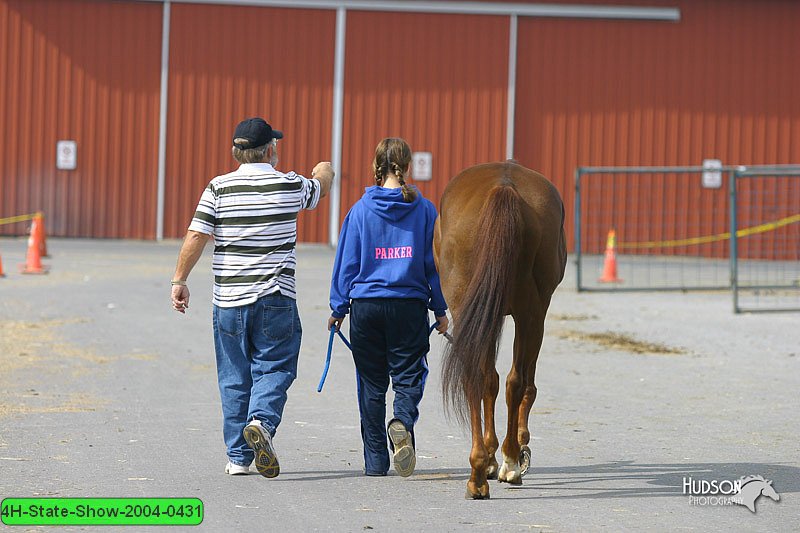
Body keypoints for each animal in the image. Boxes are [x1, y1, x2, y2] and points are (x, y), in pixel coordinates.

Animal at [432, 160, 568, 496]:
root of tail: (504, 187)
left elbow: (491, 380)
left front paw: (496, 456)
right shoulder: (532, 315)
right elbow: (521, 384)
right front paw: (511, 452)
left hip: (476, 307)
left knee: (481, 377)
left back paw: (482, 471)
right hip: (530, 314)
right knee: (513, 380)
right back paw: (505, 463)